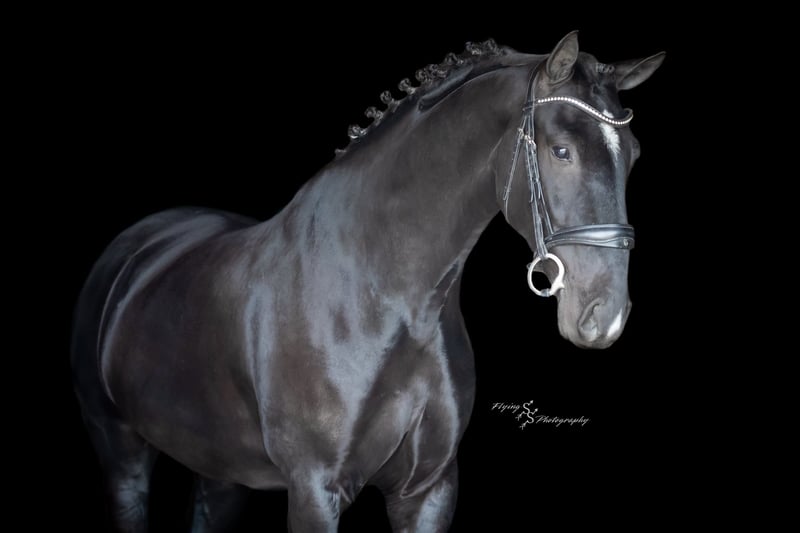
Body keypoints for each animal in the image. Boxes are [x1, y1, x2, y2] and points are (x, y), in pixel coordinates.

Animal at [71, 32, 663, 532]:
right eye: (561, 150)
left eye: (633, 155)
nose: (604, 316)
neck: (383, 300)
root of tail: (139, 244)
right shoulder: (314, 491)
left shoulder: (427, 490)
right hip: (121, 454)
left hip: (219, 470)